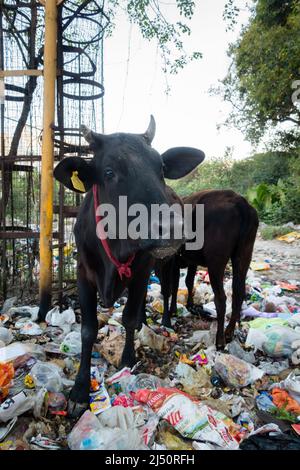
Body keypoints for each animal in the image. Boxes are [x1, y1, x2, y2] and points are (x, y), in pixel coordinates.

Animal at [45, 116, 204, 414]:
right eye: (109, 172)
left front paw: (128, 359)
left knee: (166, 292)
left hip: (167, 264)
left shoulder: (142, 270)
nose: (172, 228)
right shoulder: (84, 274)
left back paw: (163, 319)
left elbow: (128, 318)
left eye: (160, 167)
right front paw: (80, 389)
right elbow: (88, 331)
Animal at [157, 190, 258, 348]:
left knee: (221, 298)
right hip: (244, 254)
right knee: (238, 293)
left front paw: (168, 316)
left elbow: (170, 287)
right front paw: (186, 306)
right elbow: (186, 282)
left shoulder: (170, 260)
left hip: (215, 261)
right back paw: (229, 332)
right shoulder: (189, 261)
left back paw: (220, 339)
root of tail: (240, 202)